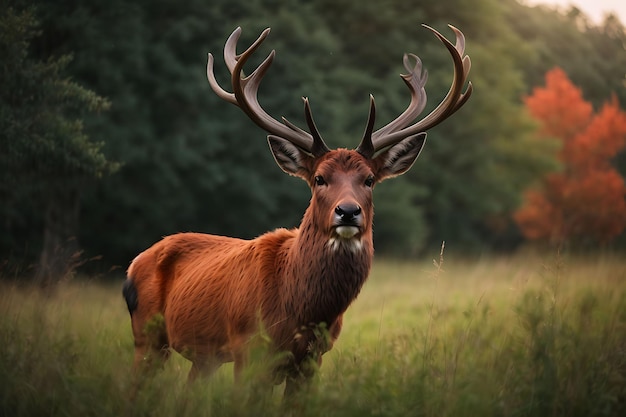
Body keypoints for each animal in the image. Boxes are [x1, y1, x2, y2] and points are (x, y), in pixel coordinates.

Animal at [124, 24, 470, 394]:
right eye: (319, 178)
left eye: (369, 179)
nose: (348, 211)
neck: (300, 308)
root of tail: (134, 263)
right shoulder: (249, 349)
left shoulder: (313, 358)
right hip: (147, 336)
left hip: (203, 355)